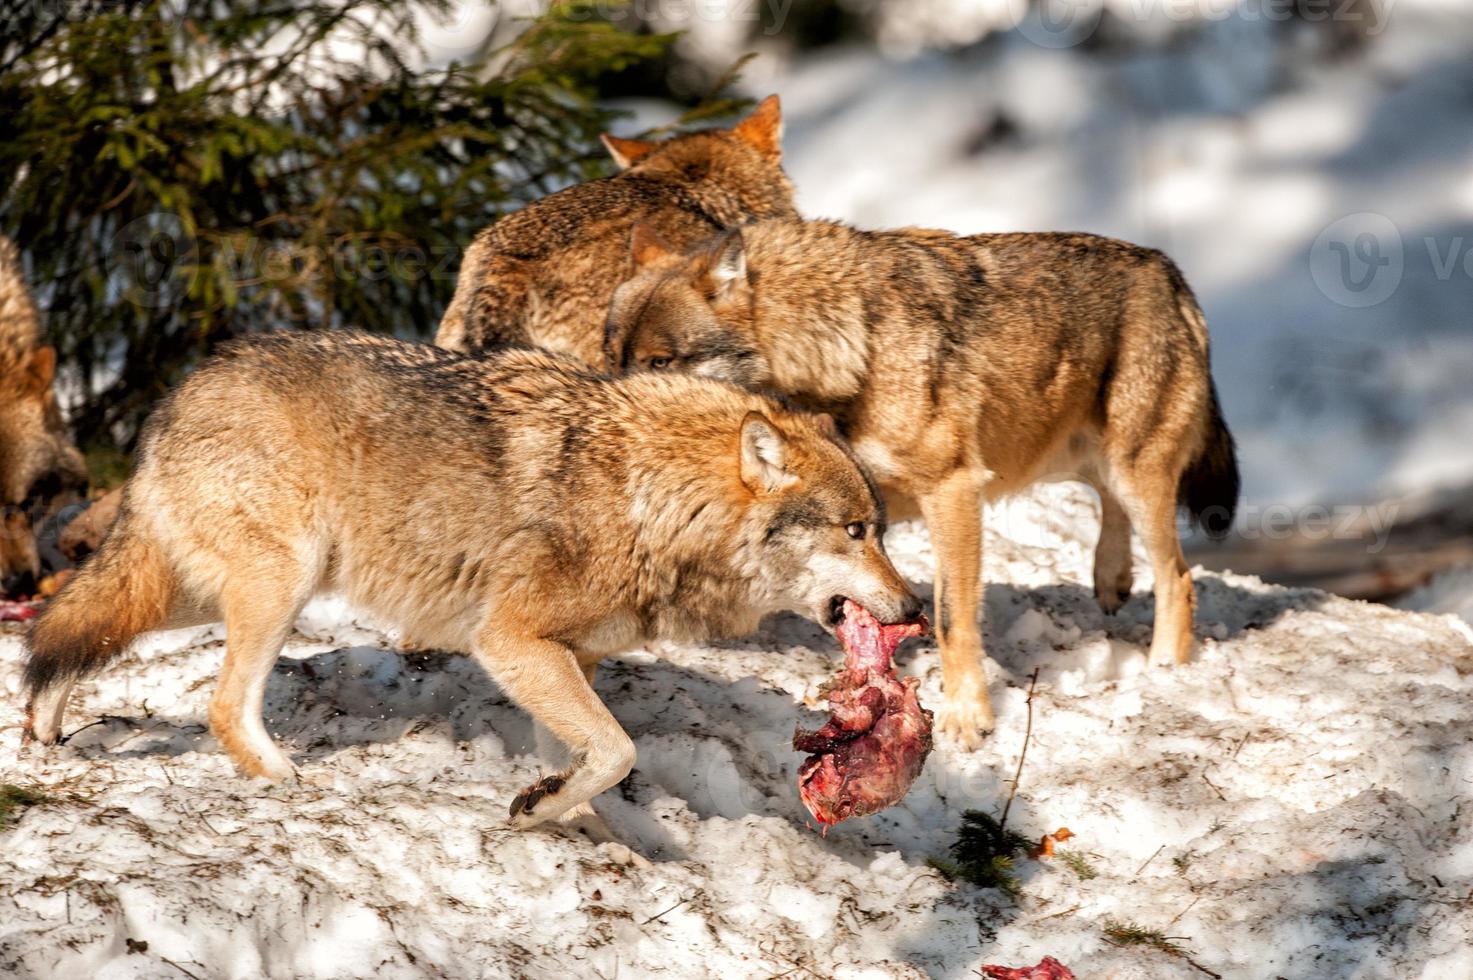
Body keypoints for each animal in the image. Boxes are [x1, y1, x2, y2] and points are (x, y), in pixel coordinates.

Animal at [20, 330, 919, 825]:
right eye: (856, 531)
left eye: (879, 529)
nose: (914, 604)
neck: (649, 497)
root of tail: (180, 394)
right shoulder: (511, 643)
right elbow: (619, 750)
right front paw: (549, 809)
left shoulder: (566, 660)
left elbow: (590, 763)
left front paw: (557, 814)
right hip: (279, 588)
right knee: (217, 704)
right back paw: (285, 781)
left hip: (207, 589)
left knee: (65, 626)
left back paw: (40, 730)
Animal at [603, 219, 1237, 742]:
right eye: (613, 358)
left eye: (660, 362)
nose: (620, 403)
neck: (850, 348)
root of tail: (1170, 271)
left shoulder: (953, 490)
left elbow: (952, 614)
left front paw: (968, 720)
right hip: (1082, 457)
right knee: (1112, 512)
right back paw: (1112, 578)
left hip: (1134, 470)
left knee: (1179, 578)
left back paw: (1164, 671)